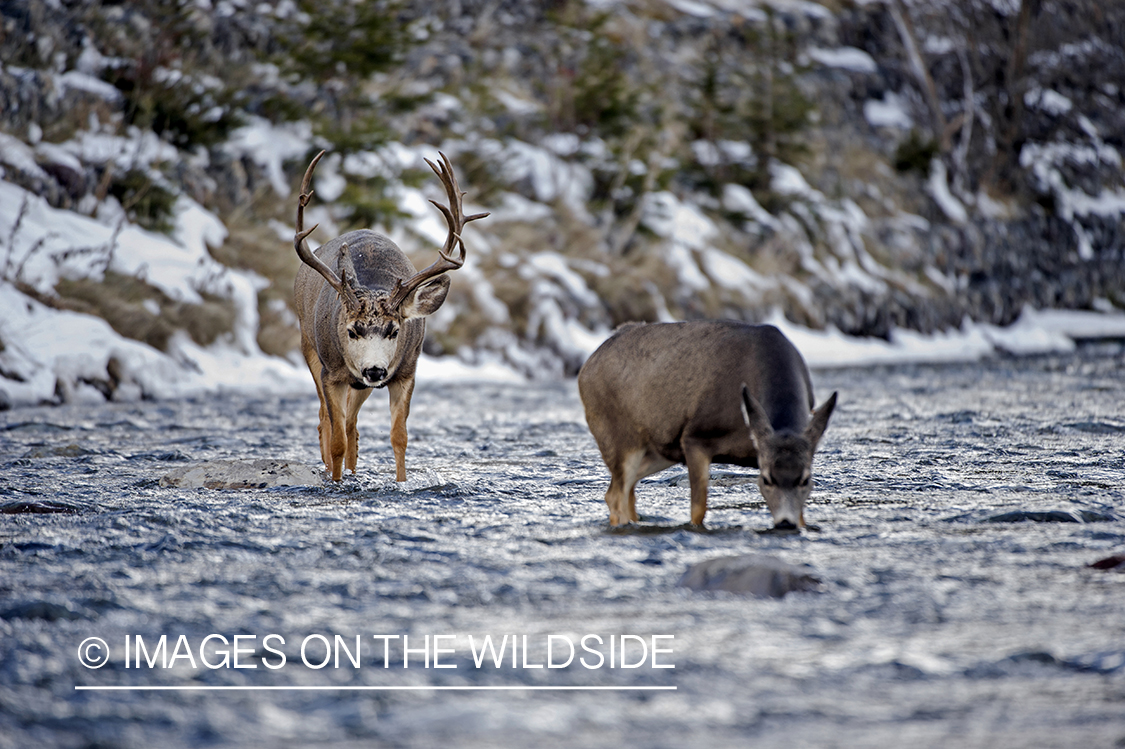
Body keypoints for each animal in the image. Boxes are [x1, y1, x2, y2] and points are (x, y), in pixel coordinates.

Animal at [292, 148, 486, 481]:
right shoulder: (332, 372)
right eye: (352, 330)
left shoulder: (406, 371)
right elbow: (337, 439)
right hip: (309, 345)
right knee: (325, 421)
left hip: (362, 384)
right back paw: (331, 468)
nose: (374, 370)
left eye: (394, 330)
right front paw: (336, 482)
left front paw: (401, 482)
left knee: (351, 424)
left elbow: (399, 437)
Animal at [580, 323, 837, 528]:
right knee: (616, 494)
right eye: (766, 479)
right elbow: (698, 510)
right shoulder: (695, 437)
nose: (785, 523)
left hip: (658, 450)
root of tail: (585, 369)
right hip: (618, 437)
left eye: (806, 479)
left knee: (626, 492)